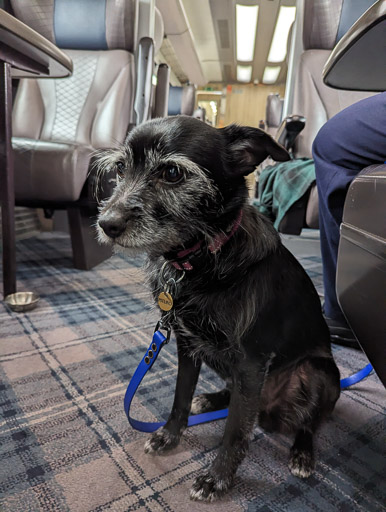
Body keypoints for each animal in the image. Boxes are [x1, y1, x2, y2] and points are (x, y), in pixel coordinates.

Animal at [96, 115, 340, 500]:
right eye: (120, 168)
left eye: (172, 173)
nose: (107, 224)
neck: (203, 259)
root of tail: (271, 410)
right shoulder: (186, 345)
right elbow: (180, 397)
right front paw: (170, 435)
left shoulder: (252, 362)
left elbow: (236, 432)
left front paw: (218, 478)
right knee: (237, 398)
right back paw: (212, 400)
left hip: (320, 373)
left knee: (308, 423)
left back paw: (302, 453)